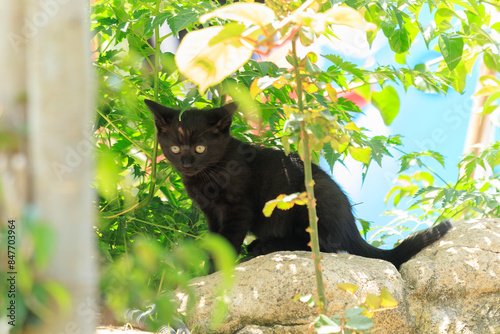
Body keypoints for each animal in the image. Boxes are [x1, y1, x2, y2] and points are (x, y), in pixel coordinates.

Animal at [146, 100, 454, 268]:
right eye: (175, 148)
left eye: (200, 148)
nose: (186, 163)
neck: (207, 174)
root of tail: (351, 227)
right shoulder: (211, 214)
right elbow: (215, 242)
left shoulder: (238, 209)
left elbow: (228, 241)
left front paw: (215, 273)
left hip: (311, 199)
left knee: (323, 245)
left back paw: (265, 246)